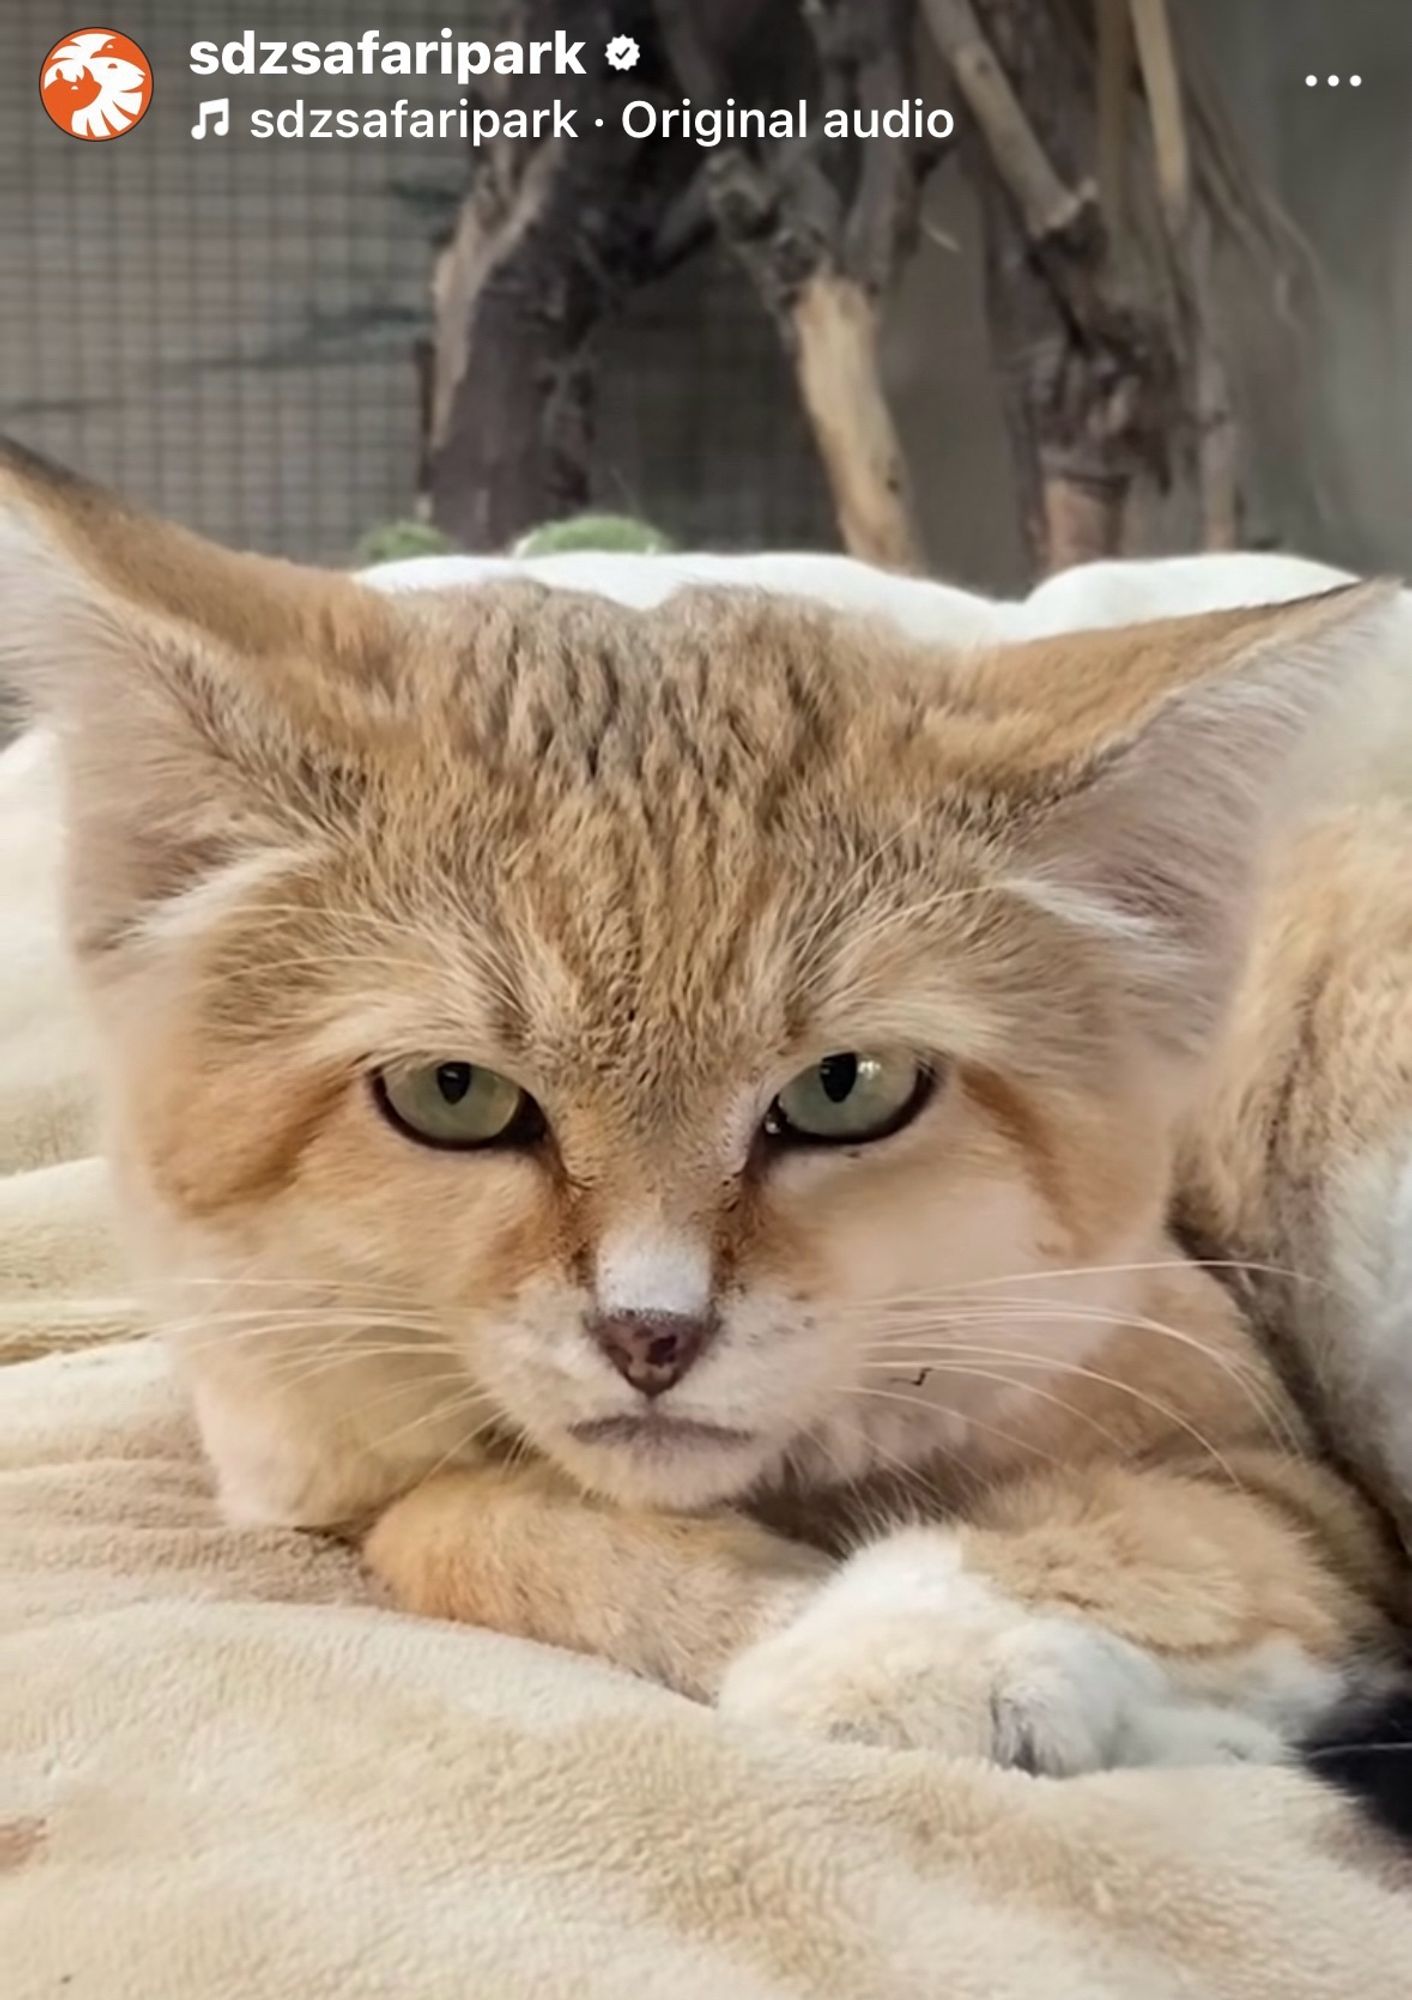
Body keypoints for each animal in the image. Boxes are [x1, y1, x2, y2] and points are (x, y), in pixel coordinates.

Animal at [2, 446, 1408, 1776]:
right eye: (453, 1092)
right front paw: (759, 1600)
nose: (651, 1334)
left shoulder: (1293, 1489)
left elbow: (1145, 1534)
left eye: (845, 1086)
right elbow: (451, 1516)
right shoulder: (303, 1460)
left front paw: (904, 1645)